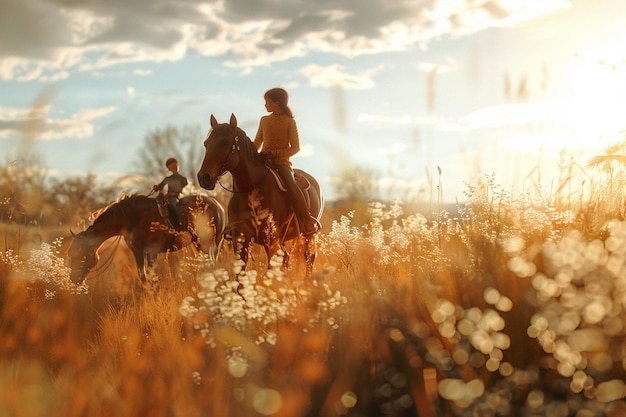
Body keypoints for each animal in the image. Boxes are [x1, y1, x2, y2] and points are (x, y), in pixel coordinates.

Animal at [67, 192, 224, 282]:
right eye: (70, 254)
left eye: (81, 254)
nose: (73, 279)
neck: (133, 219)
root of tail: (218, 205)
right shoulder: (137, 252)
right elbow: (143, 277)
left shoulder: (151, 252)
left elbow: (152, 278)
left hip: (207, 244)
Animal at [196, 114, 324, 276]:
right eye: (206, 144)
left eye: (224, 142)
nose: (204, 177)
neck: (250, 190)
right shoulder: (241, 241)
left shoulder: (271, 241)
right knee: (287, 258)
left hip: (308, 235)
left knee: (309, 257)